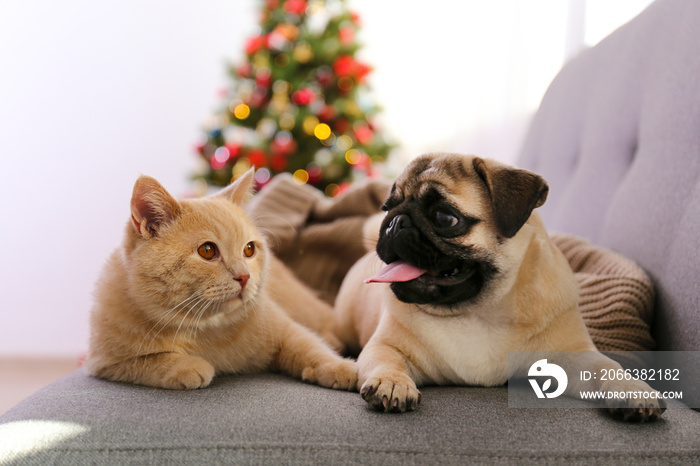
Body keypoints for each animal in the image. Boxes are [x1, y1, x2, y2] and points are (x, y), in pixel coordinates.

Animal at [87, 170, 356, 390]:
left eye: (249, 249)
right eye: (207, 251)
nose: (244, 276)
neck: (207, 329)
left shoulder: (284, 328)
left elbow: (307, 345)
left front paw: (338, 367)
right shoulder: (106, 363)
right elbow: (148, 361)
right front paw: (187, 366)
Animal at [334, 154, 668, 422]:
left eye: (444, 218)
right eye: (387, 208)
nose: (393, 223)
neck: (479, 311)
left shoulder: (575, 355)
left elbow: (606, 367)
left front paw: (631, 388)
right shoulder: (385, 346)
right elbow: (386, 360)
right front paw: (392, 383)